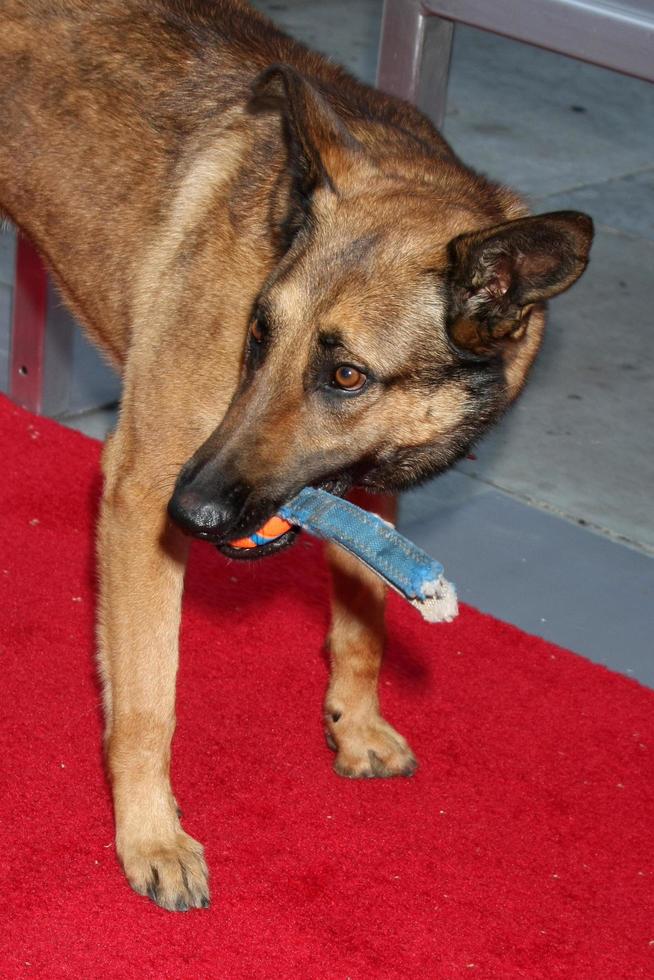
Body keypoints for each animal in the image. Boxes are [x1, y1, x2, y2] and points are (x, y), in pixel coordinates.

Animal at [0, 0, 596, 912]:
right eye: (257, 333)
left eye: (346, 375)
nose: (191, 512)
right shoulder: (138, 493)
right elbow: (146, 698)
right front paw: (150, 834)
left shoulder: (368, 489)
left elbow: (366, 618)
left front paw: (356, 723)